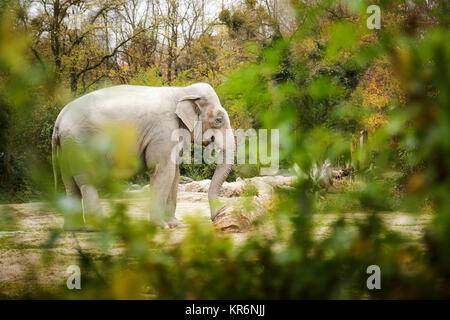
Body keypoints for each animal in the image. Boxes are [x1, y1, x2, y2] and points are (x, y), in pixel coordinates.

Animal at [51, 82, 236, 230]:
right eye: (219, 120)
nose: (217, 216)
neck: (182, 91)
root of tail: (59, 119)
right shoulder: (163, 131)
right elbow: (163, 171)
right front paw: (162, 226)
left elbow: (174, 174)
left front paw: (175, 225)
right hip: (80, 144)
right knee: (87, 182)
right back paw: (98, 228)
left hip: (67, 146)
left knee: (70, 184)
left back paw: (73, 229)